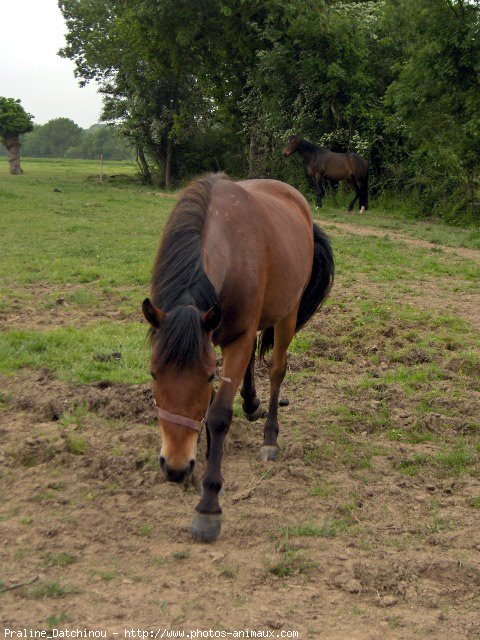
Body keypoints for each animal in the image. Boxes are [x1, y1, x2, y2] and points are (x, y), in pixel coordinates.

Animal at [141, 171, 332, 540]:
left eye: (207, 376)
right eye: (154, 373)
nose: (174, 467)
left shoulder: (238, 338)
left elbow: (218, 414)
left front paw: (208, 505)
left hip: (287, 315)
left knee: (276, 370)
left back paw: (269, 436)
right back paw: (251, 403)